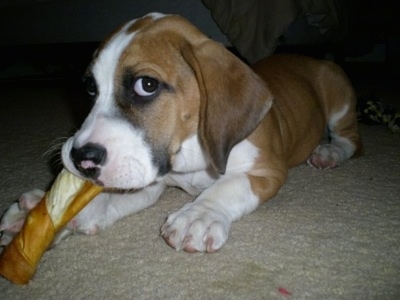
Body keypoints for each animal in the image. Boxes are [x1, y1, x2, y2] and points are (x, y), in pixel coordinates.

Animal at [0, 13, 362, 253]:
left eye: (146, 85)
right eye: (90, 88)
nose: (79, 157)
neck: (191, 154)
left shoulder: (267, 171)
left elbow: (227, 187)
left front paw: (198, 215)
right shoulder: (148, 179)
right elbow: (110, 198)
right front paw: (46, 212)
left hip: (338, 95)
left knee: (353, 141)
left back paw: (329, 151)